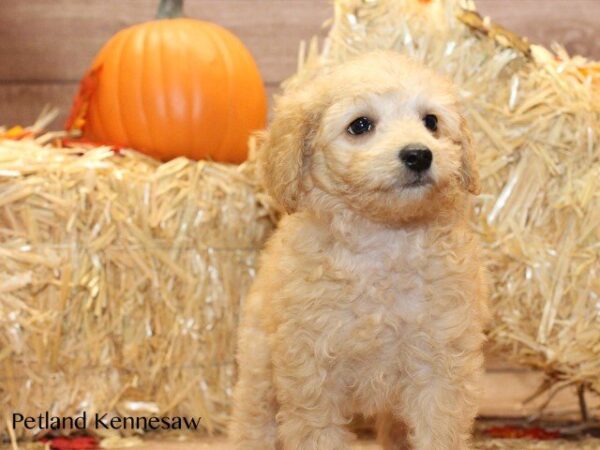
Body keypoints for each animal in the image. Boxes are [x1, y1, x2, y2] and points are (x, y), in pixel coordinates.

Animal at [230, 51, 488, 448]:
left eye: (431, 121)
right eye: (360, 125)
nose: (419, 155)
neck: (384, 239)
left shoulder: (441, 367)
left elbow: (438, 433)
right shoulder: (311, 374)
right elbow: (318, 435)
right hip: (260, 365)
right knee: (252, 420)